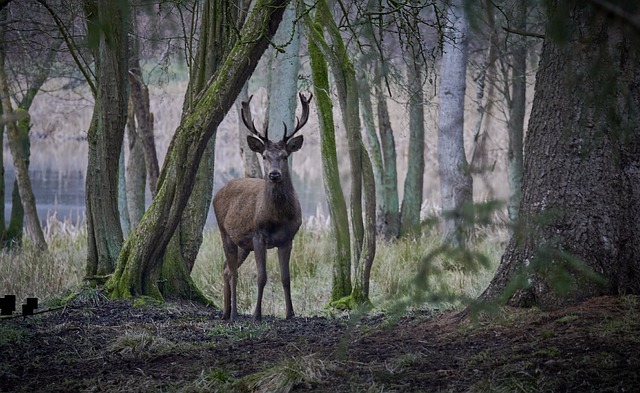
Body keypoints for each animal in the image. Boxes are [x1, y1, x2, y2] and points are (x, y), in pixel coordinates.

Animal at [214, 92, 314, 322]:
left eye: (285, 156)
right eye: (265, 156)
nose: (274, 174)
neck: (278, 217)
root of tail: (220, 191)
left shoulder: (288, 238)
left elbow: (286, 277)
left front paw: (290, 313)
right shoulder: (259, 235)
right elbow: (262, 277)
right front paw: (256, 314)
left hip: (243, 244)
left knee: (225, 269)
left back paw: (225, 312)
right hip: (225, 233)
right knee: (233, 272)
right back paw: (234, 313)